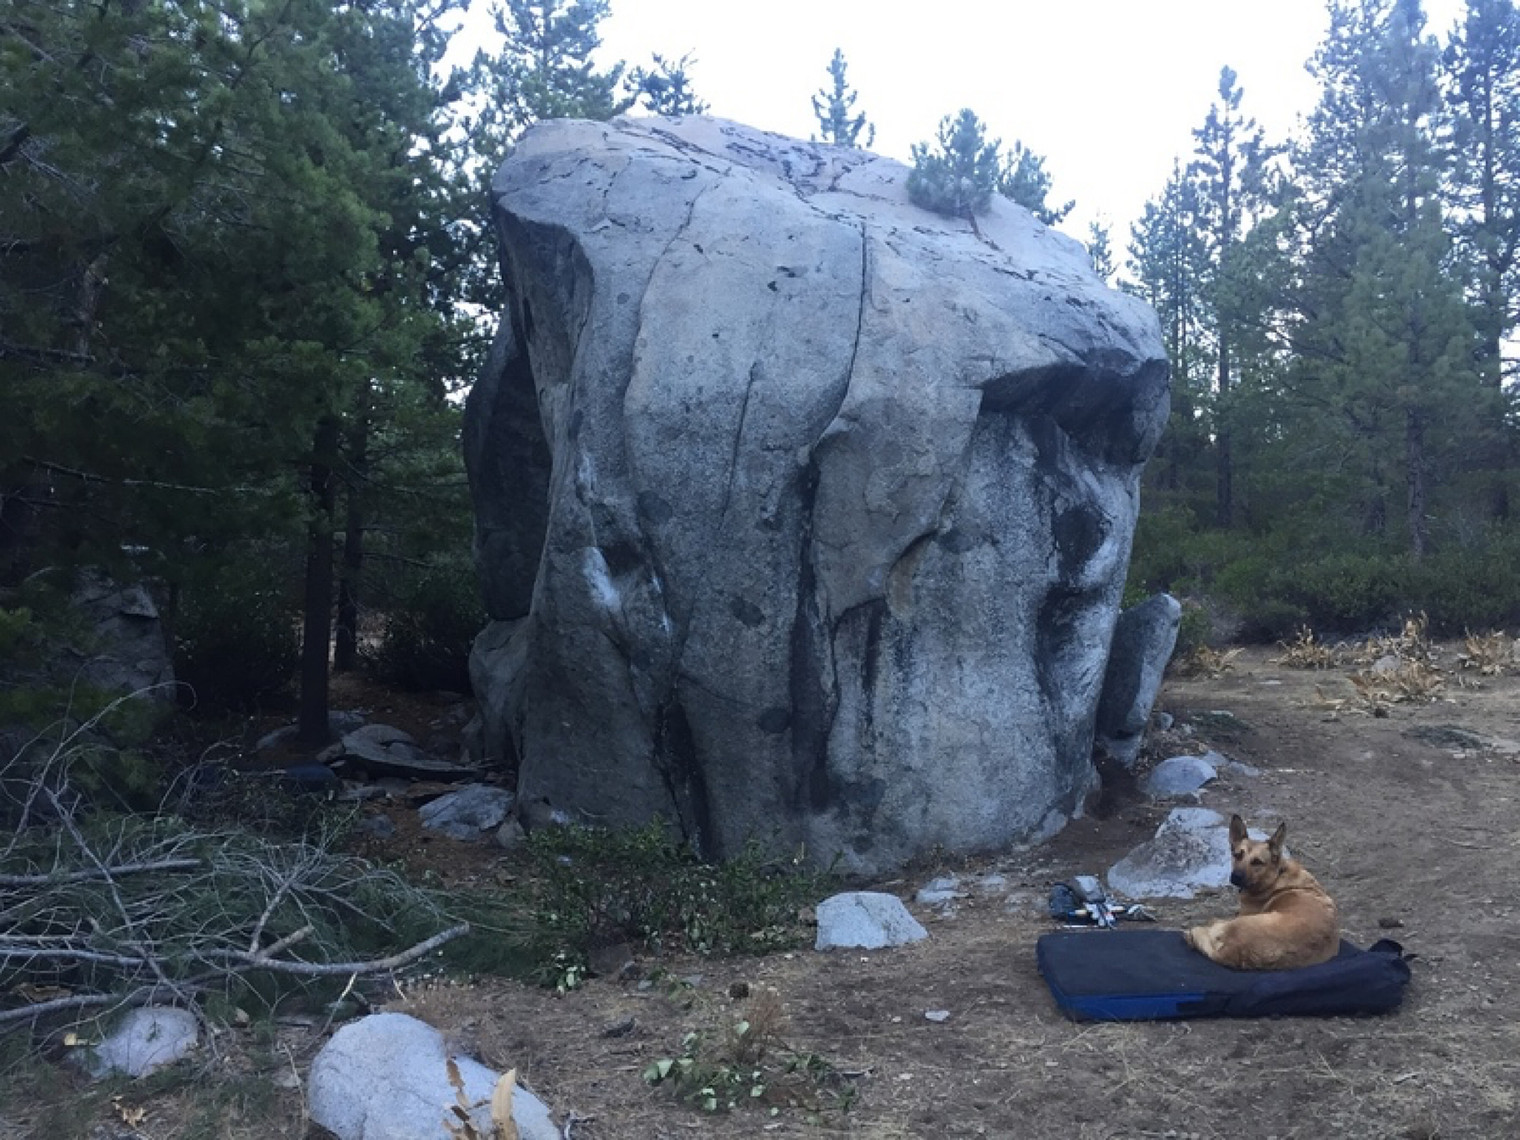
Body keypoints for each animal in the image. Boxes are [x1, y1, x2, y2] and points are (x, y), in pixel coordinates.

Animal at [1183, 814, 1339, 970]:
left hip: (1242, 923)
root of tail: (1235, 952)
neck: (1276, 875)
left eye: (1257, 862)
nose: (1235, 877)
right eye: (1237, 855)